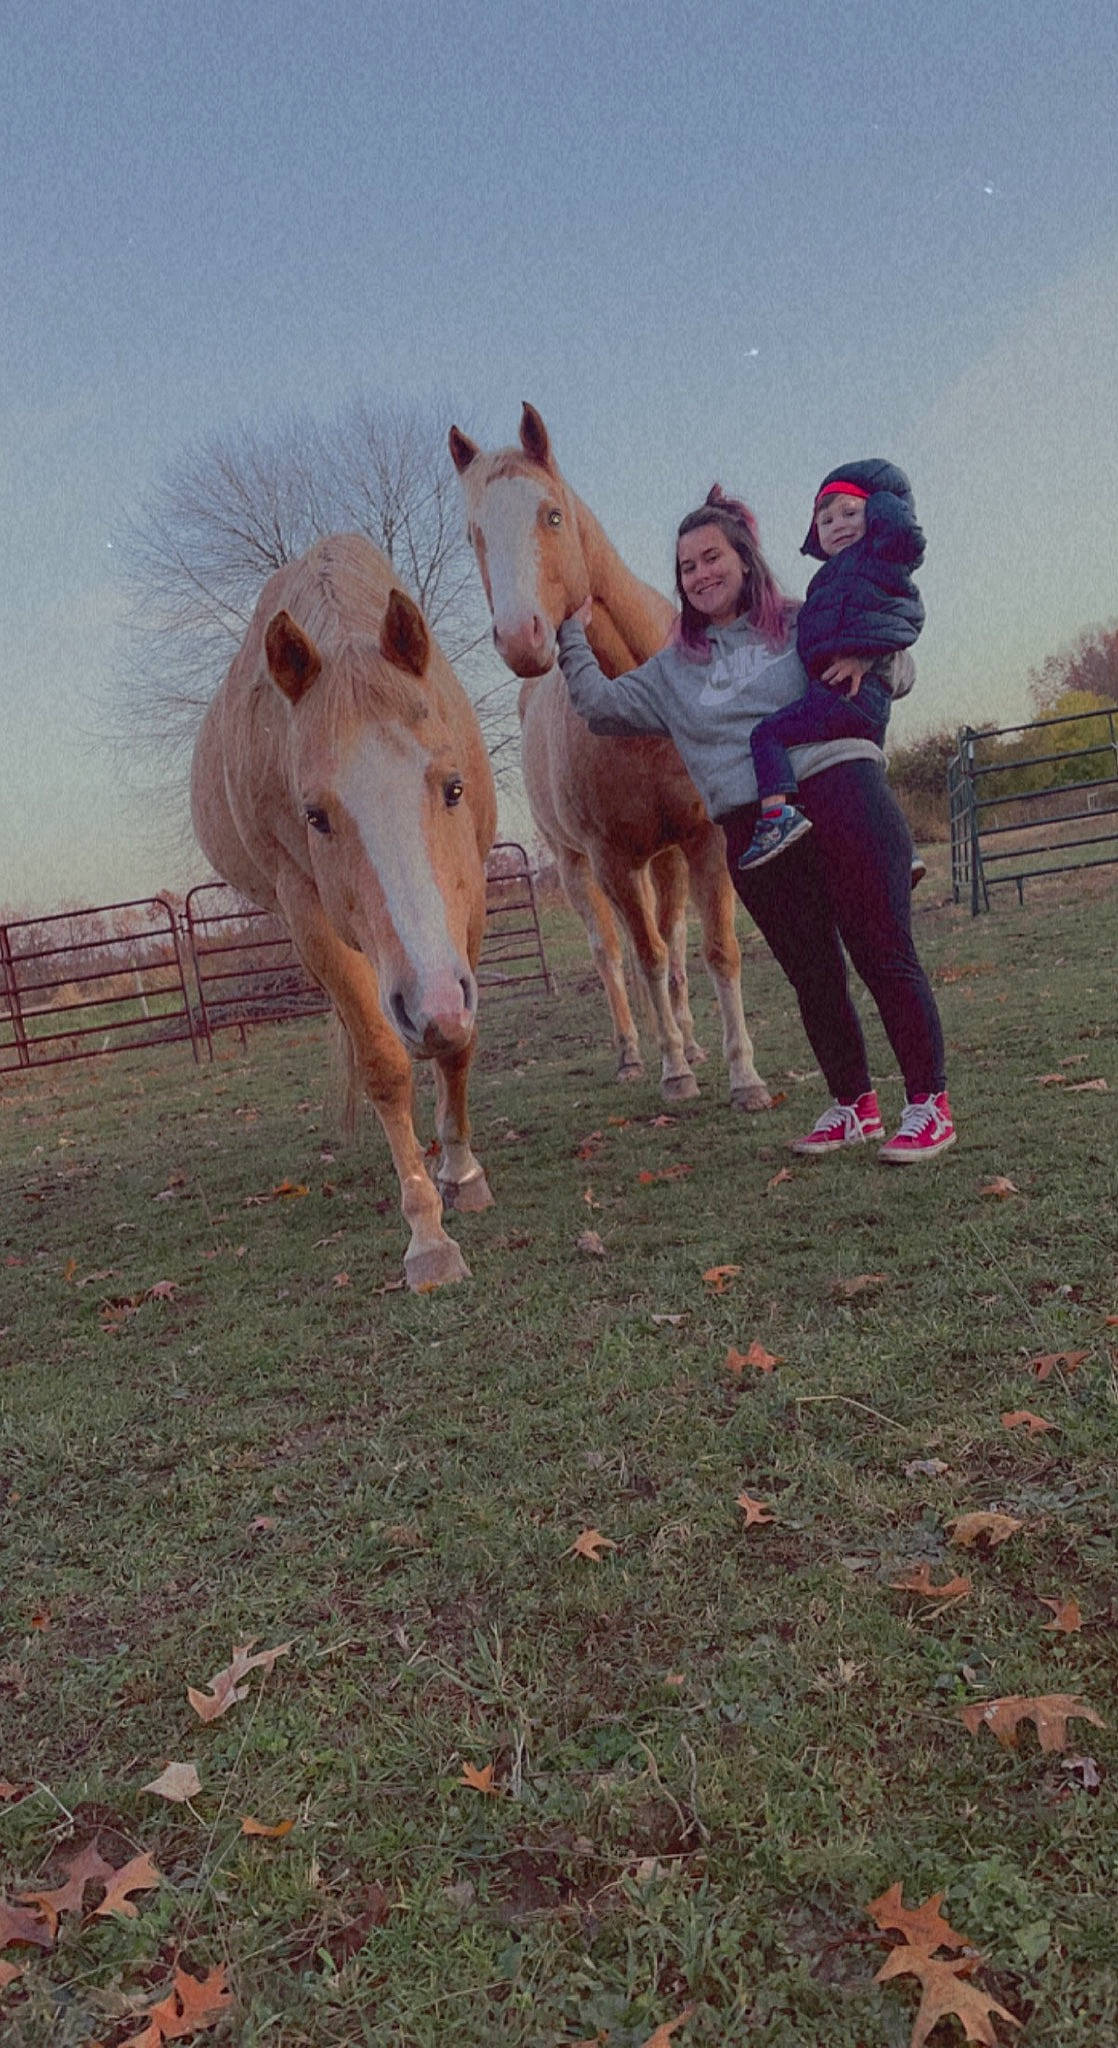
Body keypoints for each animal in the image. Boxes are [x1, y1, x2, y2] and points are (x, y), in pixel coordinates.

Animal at [190, 533, 497, 1290]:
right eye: (315, 816)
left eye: (453, 786)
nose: (430, 1005)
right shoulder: (310, 916)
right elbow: (385, 1063)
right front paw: (427, 1236)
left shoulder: (471, 900)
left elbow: (459, 1048)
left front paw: (462, 1172)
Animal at [449, 404, 771, 1111]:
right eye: (474, 534)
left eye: (552, 515)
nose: (522, 637)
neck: (641, 705)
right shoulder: (611, 860)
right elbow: (642, 957)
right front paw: (674, 1073)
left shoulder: (704, 840)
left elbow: (713, 950)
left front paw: (742, 1074)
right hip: (577, 868)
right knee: (611, 955)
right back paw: (634, 1053)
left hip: (665, 859)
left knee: (671, 940)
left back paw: (689, 1039)